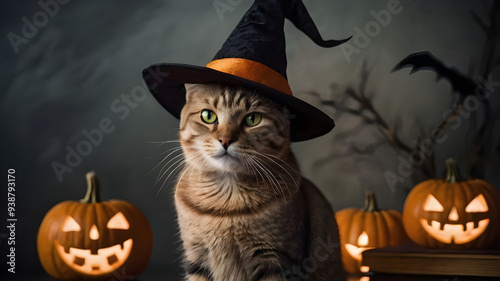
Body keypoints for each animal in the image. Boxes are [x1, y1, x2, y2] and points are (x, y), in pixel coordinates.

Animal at [173, 83, 344, 280]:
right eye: (208, 116)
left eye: (252, 119)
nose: (225, 140)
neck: (227, 206)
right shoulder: (196, 258)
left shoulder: (276, 259)